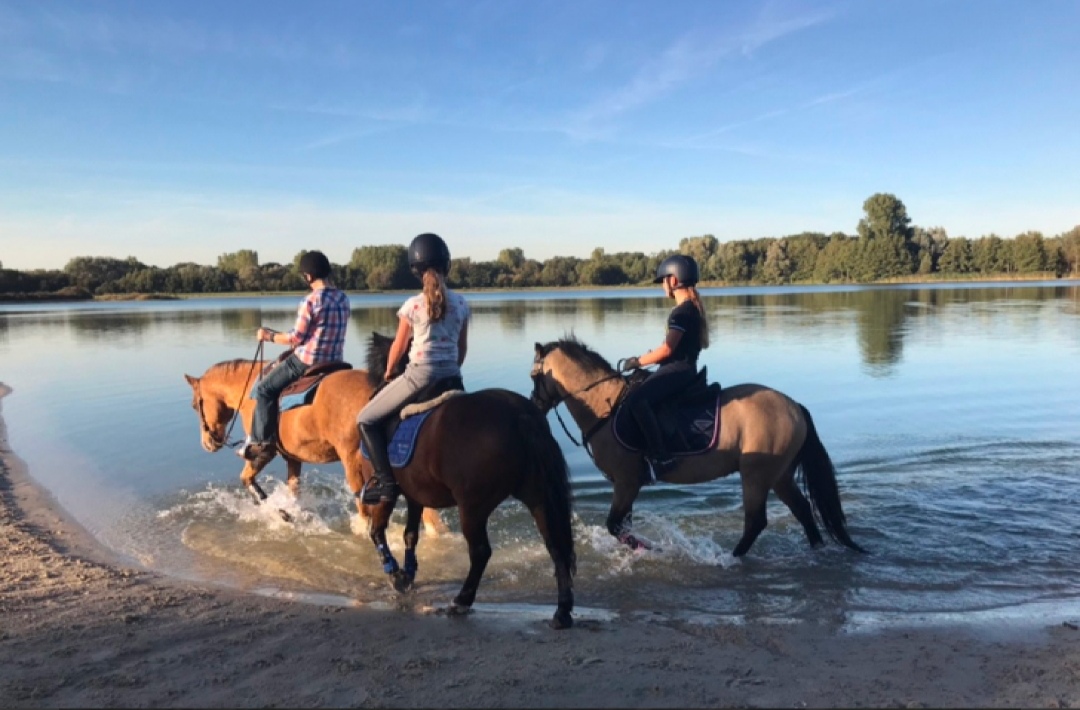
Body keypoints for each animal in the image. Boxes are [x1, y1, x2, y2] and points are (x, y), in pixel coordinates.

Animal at [183, 356, 447, 535]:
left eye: (195, 405)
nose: (208, 443)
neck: (251, 392)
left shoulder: (264, 452)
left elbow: (248, 480)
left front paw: (281, 513)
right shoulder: (292, 458)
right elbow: (293, 490)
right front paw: (290, 512)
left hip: (353, 461)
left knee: (363, 508)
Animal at [361, 333, 577, 629]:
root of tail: (520, 414)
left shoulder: (388, 494)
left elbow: (377, 531)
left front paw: (395, 575)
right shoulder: (416, 495)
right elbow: (410, 535)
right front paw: (408, 573)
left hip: (472, 508)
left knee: (480, 552)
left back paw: (461, 600)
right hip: (538, 497)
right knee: (554, 544)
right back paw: (562, 611)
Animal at [530, 336, 865, 558]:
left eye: (535, 376)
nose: (534, 406)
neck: (605, 405)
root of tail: (794, 406)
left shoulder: (627, 482)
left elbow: (615, 526)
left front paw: (654, 549)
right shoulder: (625, 485)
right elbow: (621, 527)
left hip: (756, 475)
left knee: (756, 521)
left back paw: (731, 559)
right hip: (779, 475)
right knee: (803, 510)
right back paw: (816, 550)